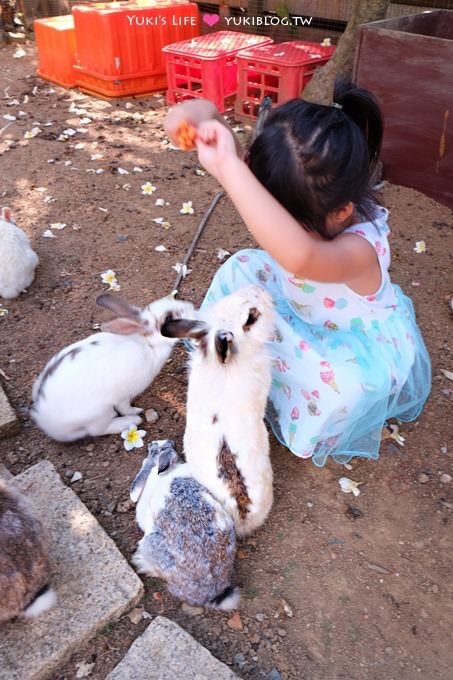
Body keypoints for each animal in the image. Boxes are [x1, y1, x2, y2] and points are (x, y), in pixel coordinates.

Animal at [30, 294, 193, 444]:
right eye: (169, 316)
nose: (190, 306)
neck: (147, 343)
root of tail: (48, 424)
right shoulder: (123, 396)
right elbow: (125, 408)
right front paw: (136, 411)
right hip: (100, 413)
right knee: (98, 430)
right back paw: (130, 421)